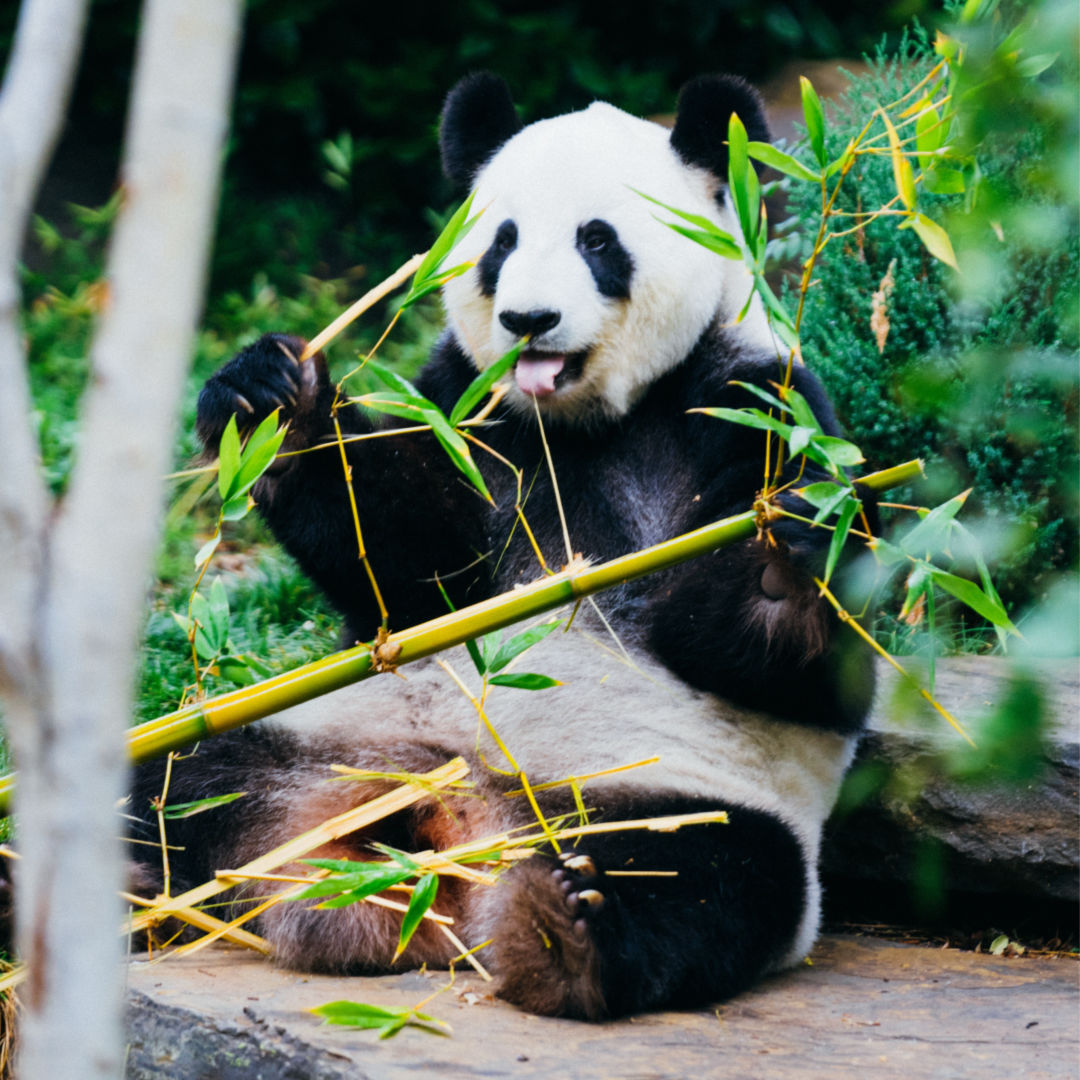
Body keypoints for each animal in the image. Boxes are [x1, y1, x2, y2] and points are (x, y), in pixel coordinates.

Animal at [132, 73, 876, 1019]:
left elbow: (805, 664)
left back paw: (569, 927)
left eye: (598, 239)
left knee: (709, 876)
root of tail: (446, 837)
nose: (529, 320)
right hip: (306, 738)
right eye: (503, 240)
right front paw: (273, 398)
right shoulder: (471, 410)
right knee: (177, 787)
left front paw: (780, 552)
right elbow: (412, 569)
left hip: (676, 798)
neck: (583, 421)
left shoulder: (755, 399)